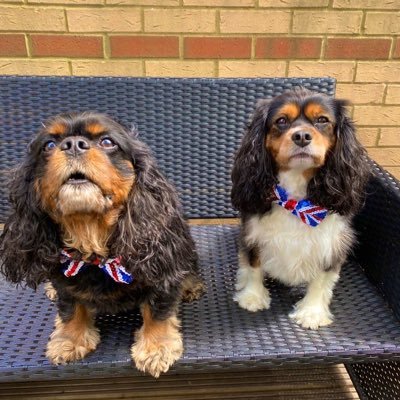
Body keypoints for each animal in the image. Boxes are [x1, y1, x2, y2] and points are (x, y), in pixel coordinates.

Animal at [0, 112, 205, 378]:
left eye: (107, 142)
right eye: (49, 145)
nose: (73, 144)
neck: (95, 251)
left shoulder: (161, 275)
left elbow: (158, 310)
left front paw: (156, 348)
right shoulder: (65, 278)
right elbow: (70, 306)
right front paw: (70, 339)